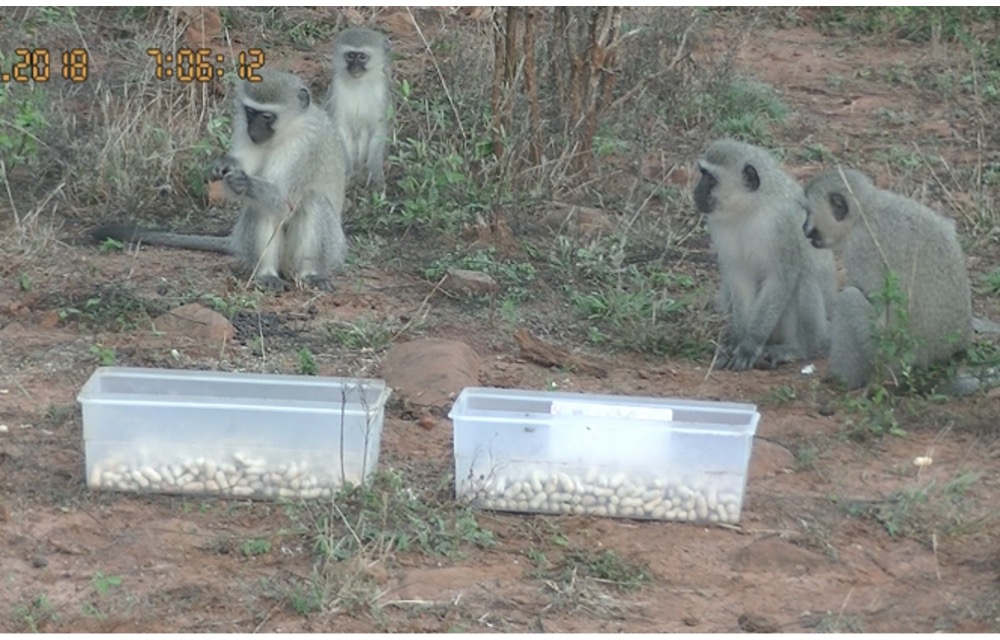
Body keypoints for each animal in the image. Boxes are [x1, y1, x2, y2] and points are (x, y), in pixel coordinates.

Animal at [94, 69, 350, 290]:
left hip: (328, 248)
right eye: (250, 112)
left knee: (312, 201)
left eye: (267, 116)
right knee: (259, 208)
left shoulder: (306, 144)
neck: (287, 131)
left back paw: (310, 274)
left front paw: (244, 181)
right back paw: (266, 274)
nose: (253, 131)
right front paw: (226, 167)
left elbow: (284, 200)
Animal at [326, 26, 392, 190]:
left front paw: (375, 175)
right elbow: (339, 127)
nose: (354, 68)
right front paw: (346, 172)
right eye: (350, 56)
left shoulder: (381, 91)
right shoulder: (336, 88)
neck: (359, 83)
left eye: (362, 57)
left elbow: (379, 129)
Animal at [696, 139, 836, 370]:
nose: (696, 191)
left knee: (804, 277)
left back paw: (799, 348)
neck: (749, 208)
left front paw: (749, 345)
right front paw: (738, 340)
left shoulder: (783, 225)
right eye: (702, 174)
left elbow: (781, 279)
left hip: (817, 329)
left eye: (711, 179)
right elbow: (739, 277)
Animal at [800, 168, 972, 388]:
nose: (804, 228)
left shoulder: (860, 248)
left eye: (808, 212)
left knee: (849, 299)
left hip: (890, 354)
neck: (864, 211)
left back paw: (842, 379)